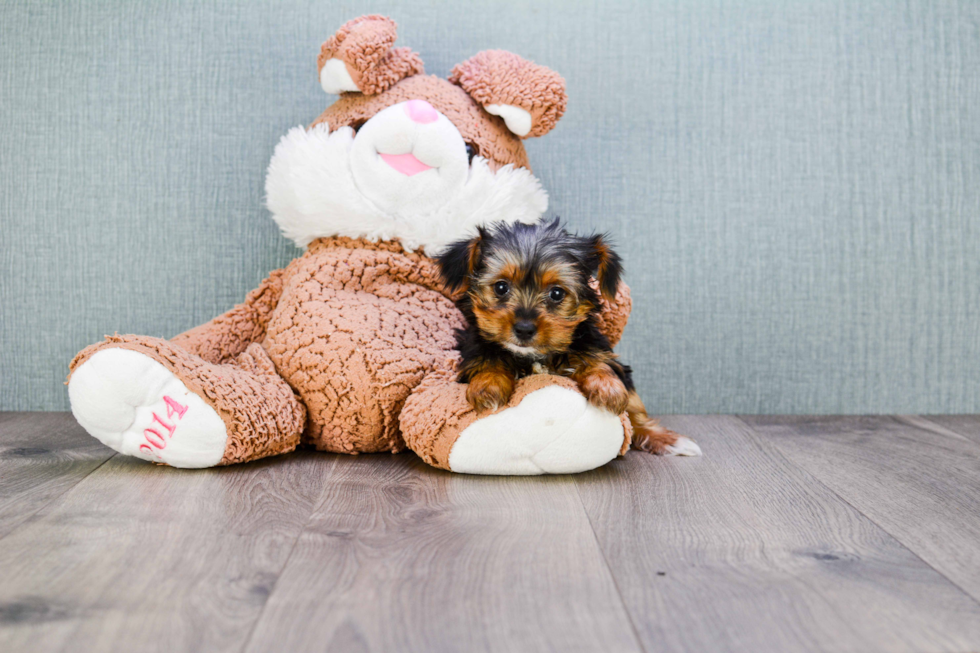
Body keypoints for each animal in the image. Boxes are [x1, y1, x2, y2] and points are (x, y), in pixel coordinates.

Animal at [436, 218, 696, 454]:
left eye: (557, 293)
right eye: (501, 287)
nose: (524, 328)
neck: (535, 356)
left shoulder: (594, 344)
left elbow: (604, 367)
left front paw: (607, 387)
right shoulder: (473, 346)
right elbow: (485, 358)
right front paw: (488, 386)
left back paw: (668, 440)